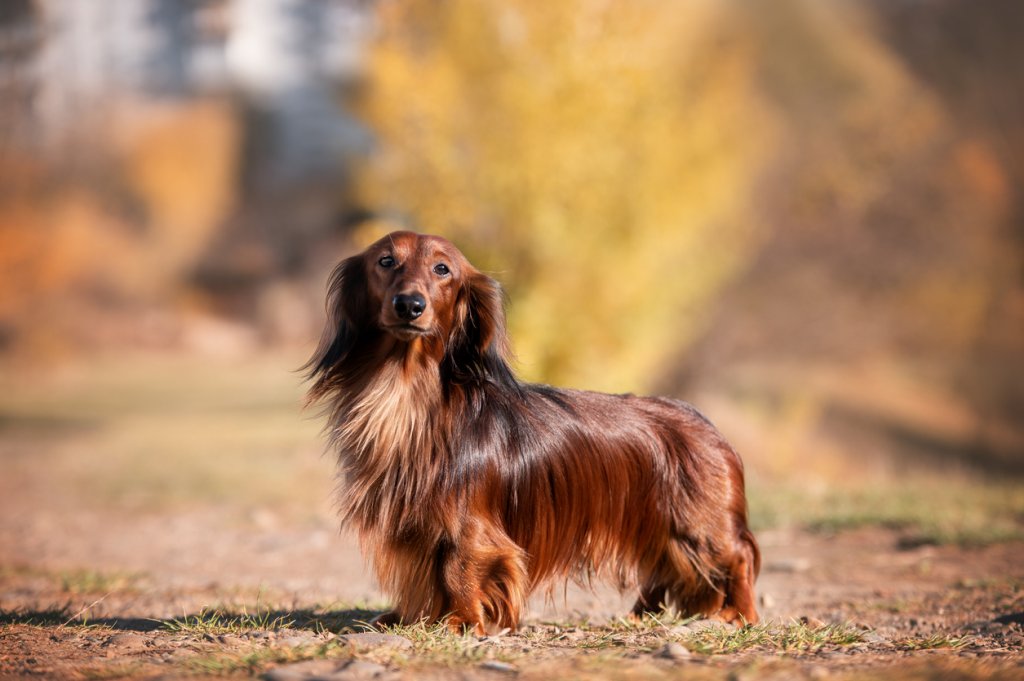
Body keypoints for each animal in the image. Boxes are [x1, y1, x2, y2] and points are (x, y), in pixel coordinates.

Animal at [307, 229, 757, 630]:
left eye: (442, 269)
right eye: (386, 261)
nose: (409, 305)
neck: (407, 394)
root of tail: (707, 424)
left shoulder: (468, 524)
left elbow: (458, 568)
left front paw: (462, 621)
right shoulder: (415, 524)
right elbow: (423, 576)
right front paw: (409, 617)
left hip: (699, 526)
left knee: (738, 556)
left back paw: (738, 614)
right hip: (659, 530)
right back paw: (642, 615)